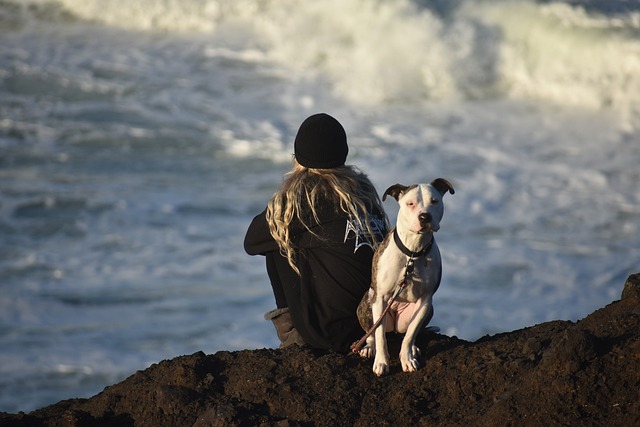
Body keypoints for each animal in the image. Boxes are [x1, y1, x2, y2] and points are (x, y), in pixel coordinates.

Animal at [356, 179, 456, 376]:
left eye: (434, 201)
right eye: (410, 203)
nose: (424, 217)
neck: (413, 252)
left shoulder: (426, 300)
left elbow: (411, 333)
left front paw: (407, 358)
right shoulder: (380, 298)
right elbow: (380, 335)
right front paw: (381, 362)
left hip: (425, 311)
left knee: (408, 332)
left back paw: (413, 348)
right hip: (367, 305)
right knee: (372, 333)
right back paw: (369, 348)